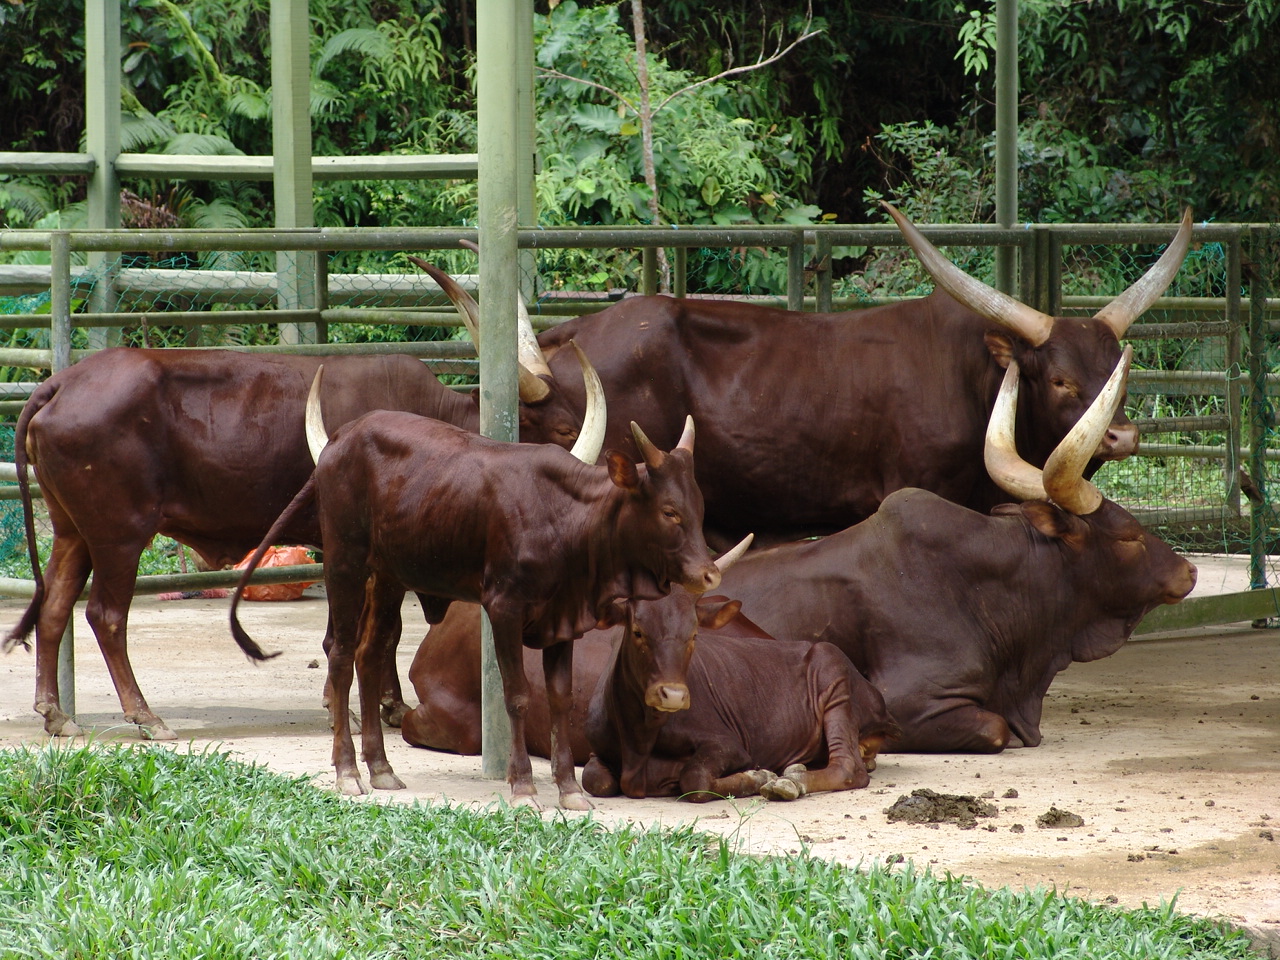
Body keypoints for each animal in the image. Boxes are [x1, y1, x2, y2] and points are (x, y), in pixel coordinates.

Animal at [2, 267, 594, 742]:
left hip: (73, 530)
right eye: (564, 429)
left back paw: (56, 714)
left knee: (54, 605)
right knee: (105, 615)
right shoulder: (355, 548)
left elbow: (385, 632)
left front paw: (388, 703)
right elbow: (362, 631)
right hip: (120, 533)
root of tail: (61, 382)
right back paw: (146, 717)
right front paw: (353, 706)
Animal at [230, 368, 722, 809]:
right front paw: (523, 787)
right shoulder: (504, 606)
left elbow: (560, 700)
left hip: (388, 577)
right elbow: (517, 695)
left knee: (370, 655)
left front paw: (569, 789)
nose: (708, 574)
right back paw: (348, 772)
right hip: (345, 565)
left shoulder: (562, 619)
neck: (565, 517)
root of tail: (339, 440)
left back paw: (382, 768)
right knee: (341, 653)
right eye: (669, 511)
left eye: (699, 506)